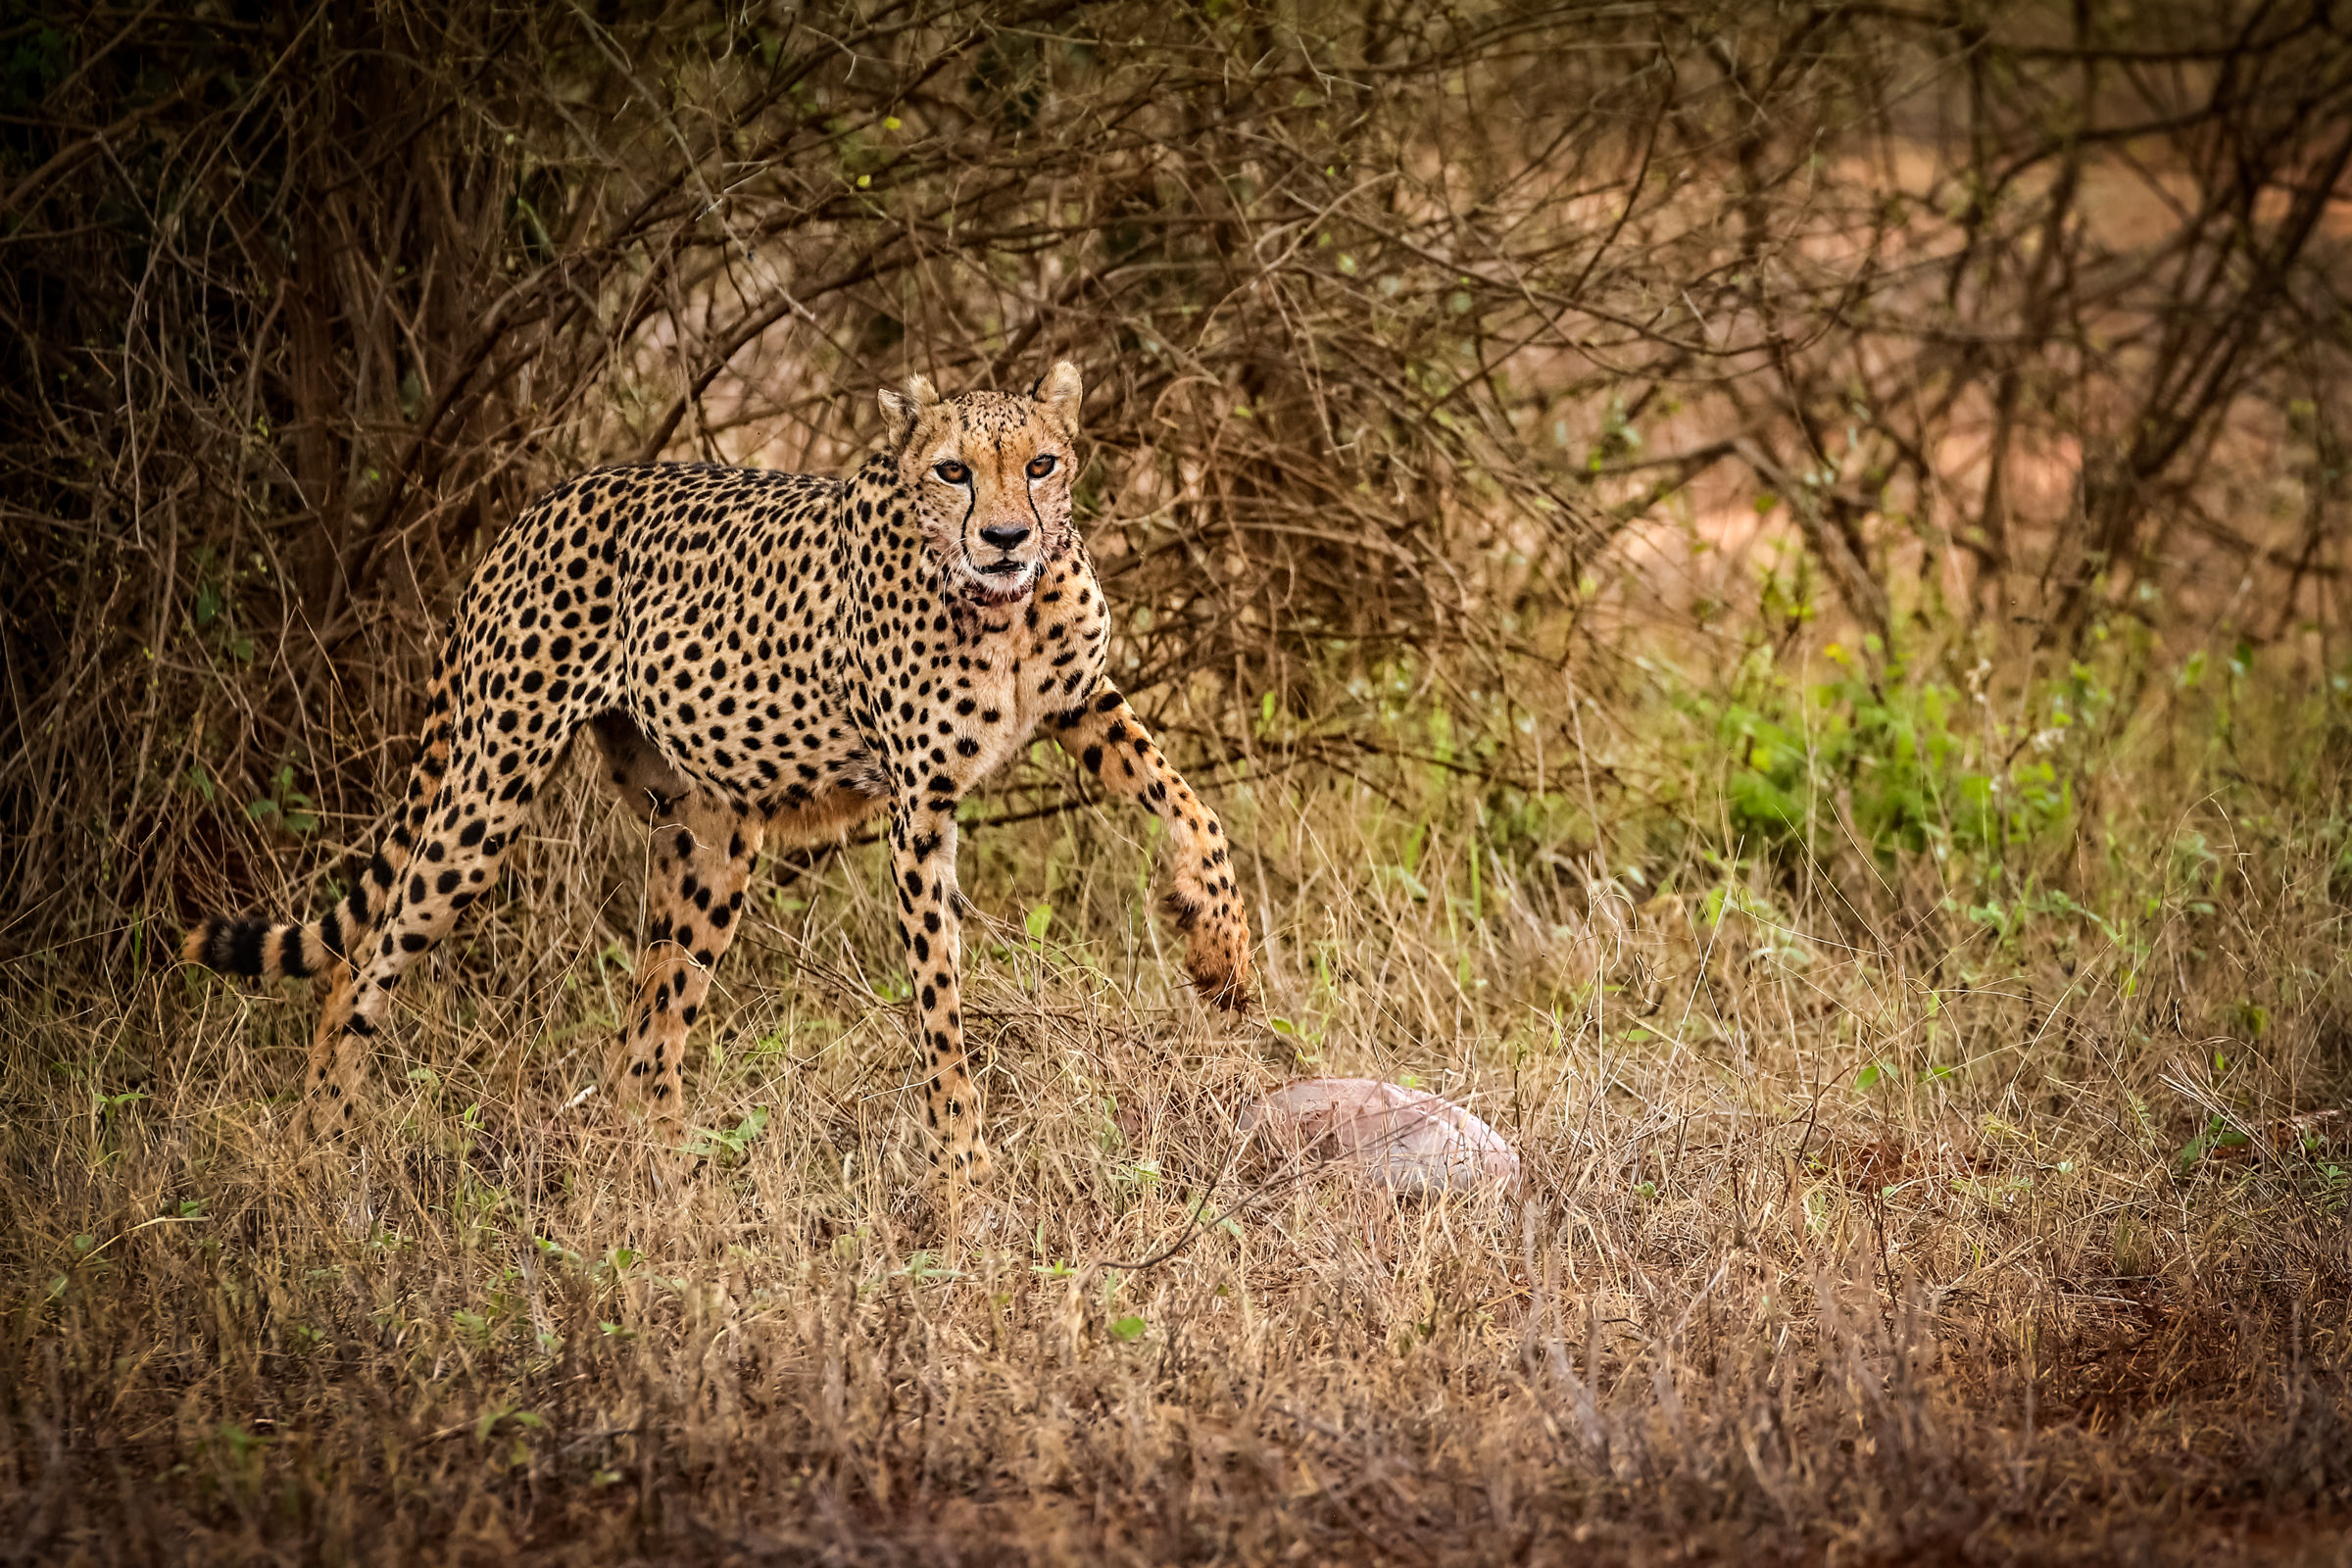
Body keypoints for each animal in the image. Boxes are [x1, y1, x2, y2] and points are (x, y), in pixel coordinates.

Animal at [181, 362, 1252, 1183]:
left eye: (1041, 464)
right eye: (953, 472)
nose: (1005, 537)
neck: (1008, 610)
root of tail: (540, 506)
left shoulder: (1084, 704)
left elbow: (1196, 811)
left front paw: (1222, 958)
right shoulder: (921, 808)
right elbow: (941, 1006)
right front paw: (964, 1173)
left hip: (707, 837)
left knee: (642, 1042)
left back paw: (672, 1189)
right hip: (492, 786)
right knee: (364, 961)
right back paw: (314, 1151)